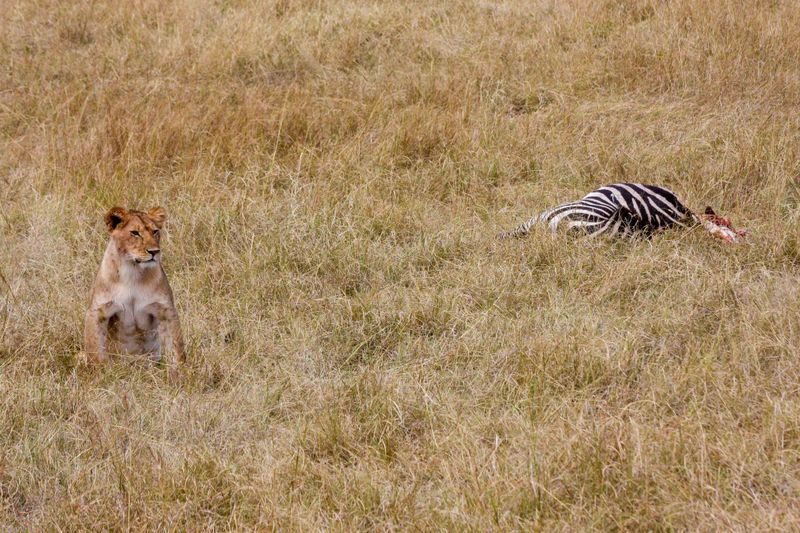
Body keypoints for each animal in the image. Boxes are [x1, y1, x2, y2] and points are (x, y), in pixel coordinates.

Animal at [84, 206, 185, 368]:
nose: (154, 252)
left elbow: (178, 347)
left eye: (155, 231)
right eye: (135, 233)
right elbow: (94, 351)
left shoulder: (166, 309)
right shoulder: (97, 311)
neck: (132, 270)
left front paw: (182, 371)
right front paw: (98, 371)